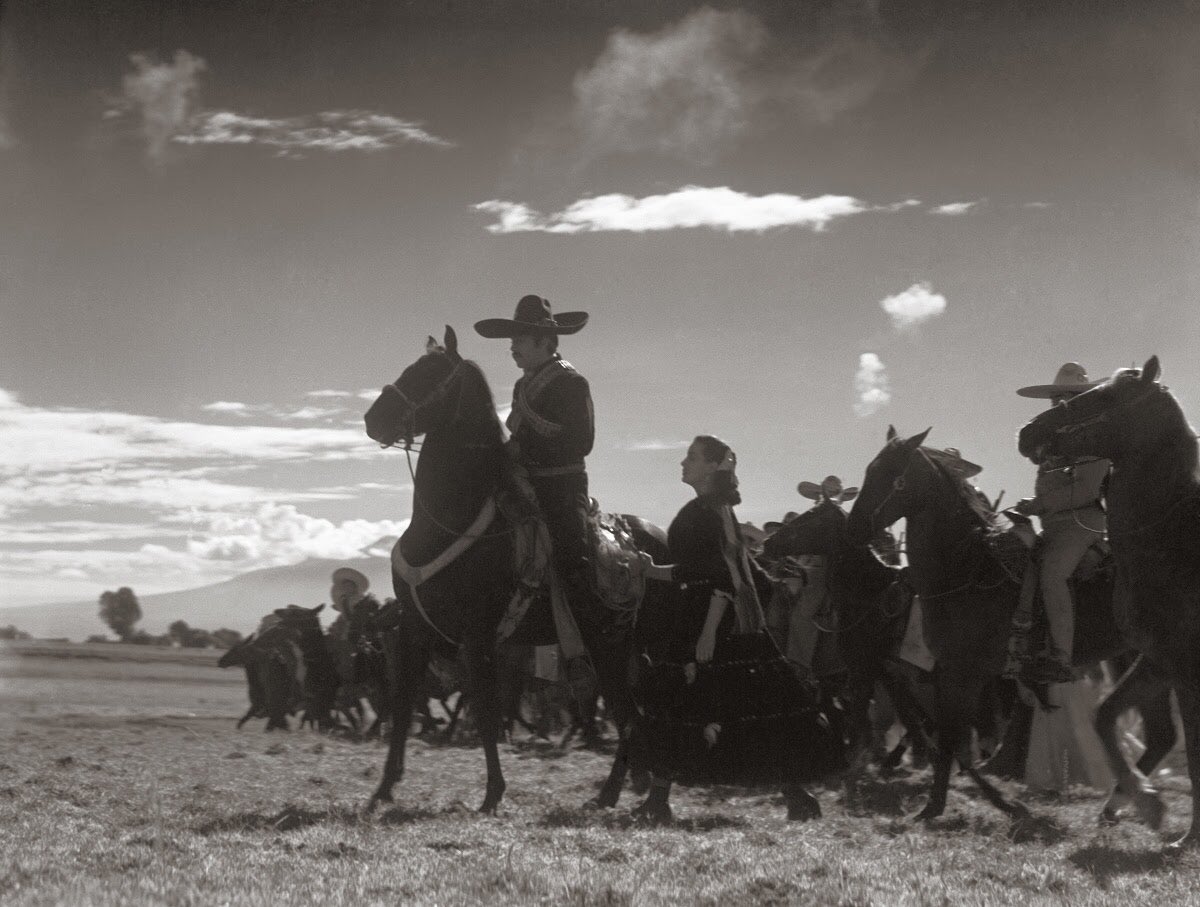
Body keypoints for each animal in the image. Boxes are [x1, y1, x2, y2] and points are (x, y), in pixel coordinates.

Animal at [360, 328, 672, 815]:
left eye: (429, 373)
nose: (374, 419)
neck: (449, 518)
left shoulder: (479, 636)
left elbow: (488, 715)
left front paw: (492, 795)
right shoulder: (413, 630)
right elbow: (402, 707)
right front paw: (384, 789)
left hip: (618, 647)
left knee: (639, 714)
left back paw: (646, 797)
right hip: (620, 651)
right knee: (633, 715)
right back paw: (614, 795)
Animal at [844, 424, 1123, 820]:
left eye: (889, 473)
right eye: (870, 470)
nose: (853, 528)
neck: (968, 568)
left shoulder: (962, 675)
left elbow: (950, 734)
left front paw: (935, 807)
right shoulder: (952, 674)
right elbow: (948, 734)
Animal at [1017, 355, 1200, 849]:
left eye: (1105, 396)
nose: (1028, 432)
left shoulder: (1184, 666)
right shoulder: (1161, 662)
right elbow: (1105, 717)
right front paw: (1151, 805)